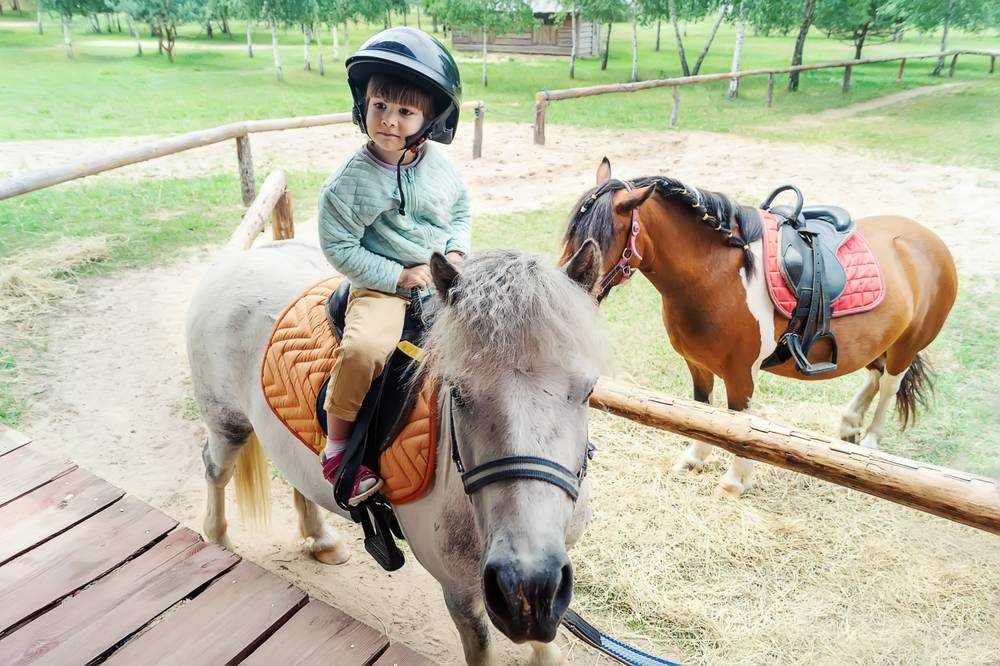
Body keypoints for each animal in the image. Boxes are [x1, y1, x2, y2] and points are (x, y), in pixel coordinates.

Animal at [188, 240, 608, 664]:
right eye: (456, 391)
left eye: (588, 390)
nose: (525, 587)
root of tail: (242, 257)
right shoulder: (460, 593)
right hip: (226, 422)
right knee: (215, 471)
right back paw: (220, 542)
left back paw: (322, 541)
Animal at [560, 158, 956, 496]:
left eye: (599, 238)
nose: (568, 288)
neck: (716, 276)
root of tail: (931, 241)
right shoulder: (697, 364)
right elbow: (701, 411)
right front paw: (694, 459)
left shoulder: (741, 375)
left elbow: (738, 426)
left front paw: (734, 481)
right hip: (878, 340)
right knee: (874, 373)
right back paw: (849, 424)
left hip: (906, 345)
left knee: (890, 384)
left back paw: (871, 441)